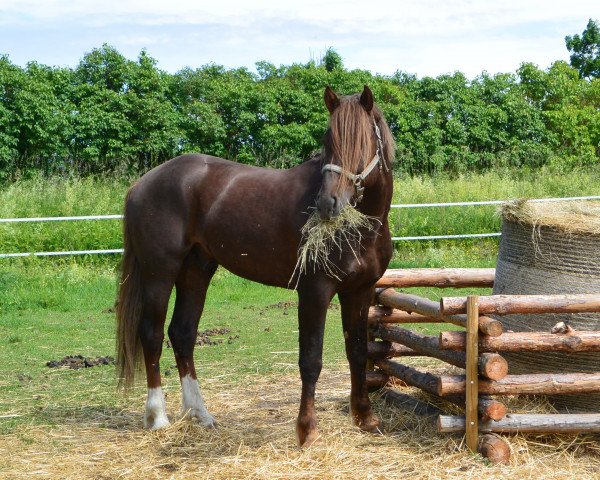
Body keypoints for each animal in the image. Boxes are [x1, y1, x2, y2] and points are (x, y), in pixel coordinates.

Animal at [116, 85, 398, 446]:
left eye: (362, 141)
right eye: (328, 141)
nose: (327, 204)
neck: (364, 229)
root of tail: (142, 183)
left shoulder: (359, 292)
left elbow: (359, 352)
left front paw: (365, 418)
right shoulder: (315, 292)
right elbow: (311, 360)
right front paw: (307, 430)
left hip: (196, 272)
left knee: (182, 333)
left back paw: (200, 415)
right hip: (159, 273)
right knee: (151, 334)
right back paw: (158, 418)